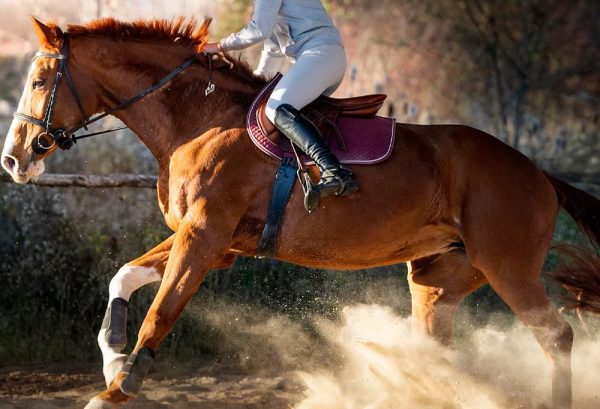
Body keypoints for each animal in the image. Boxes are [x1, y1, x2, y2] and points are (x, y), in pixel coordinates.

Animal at [1, 16, 600, 408]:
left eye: (38, 81)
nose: (13, 159)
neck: (196, 120)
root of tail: (538, 173)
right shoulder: (212, 243)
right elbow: (123, 278)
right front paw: (112, 359)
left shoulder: (204, 239)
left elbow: (161, 312)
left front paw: (118, 387)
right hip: (438, 277)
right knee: (439, 350)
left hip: (508, 267)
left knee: (556, 337)